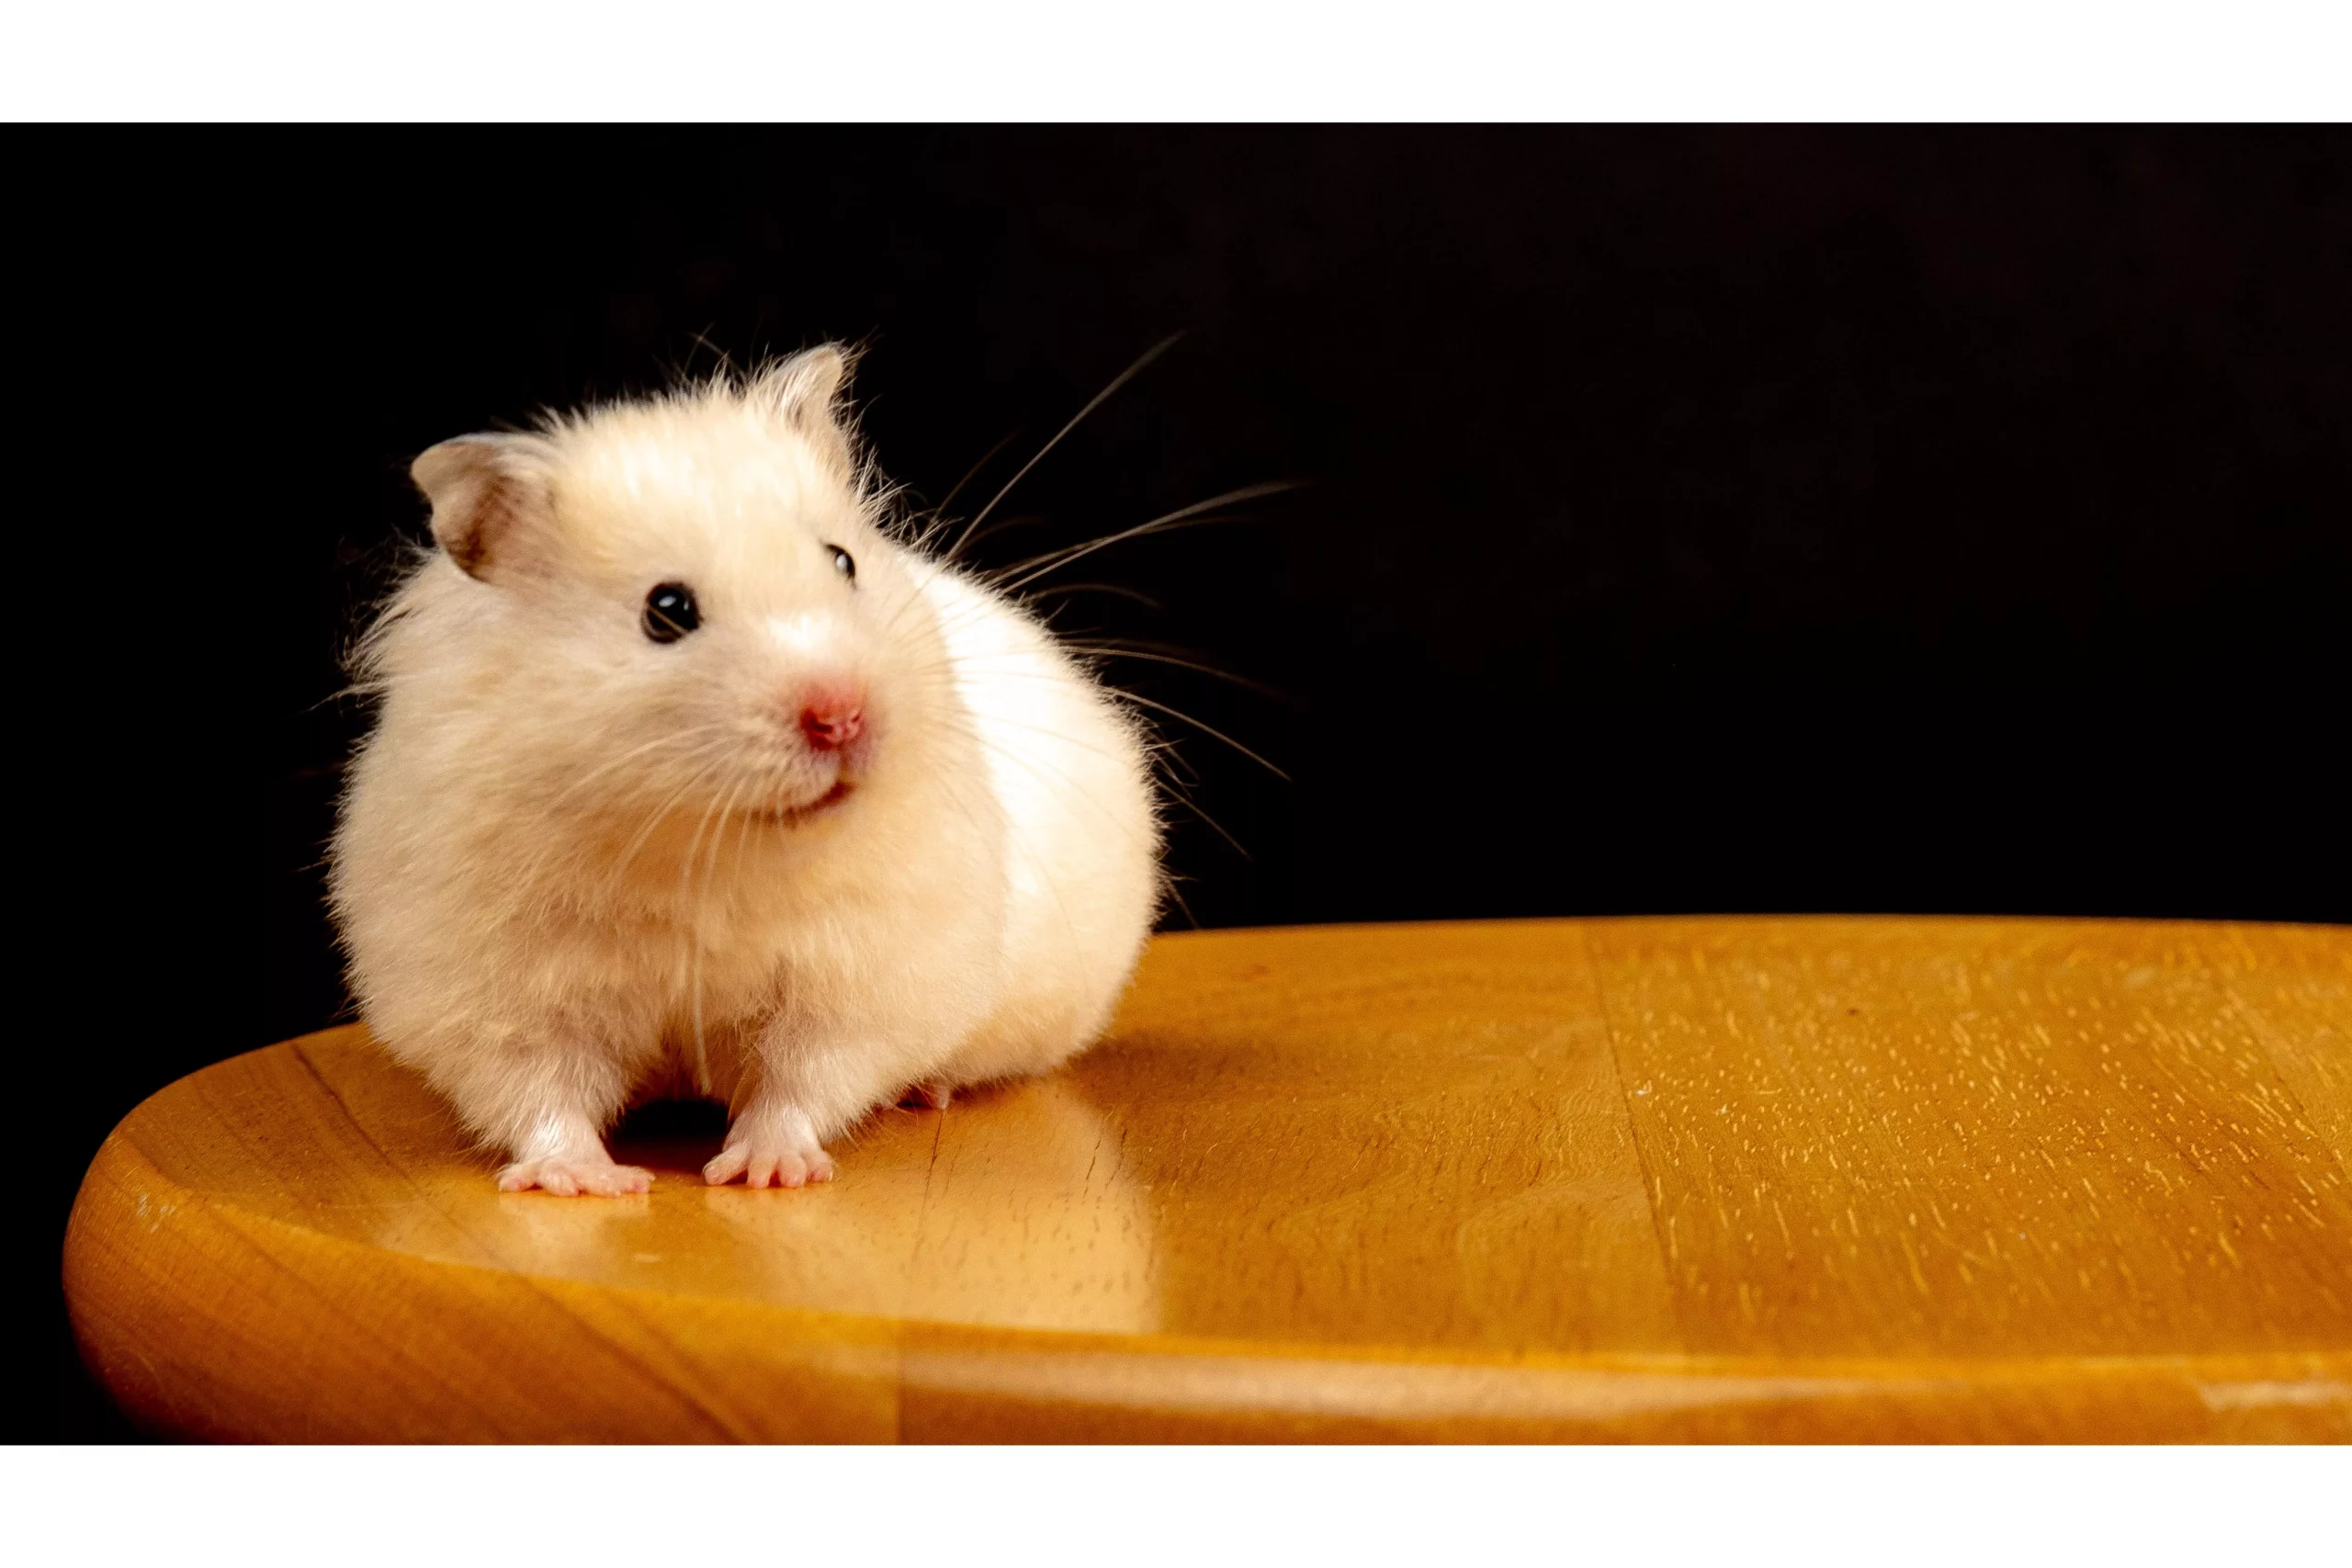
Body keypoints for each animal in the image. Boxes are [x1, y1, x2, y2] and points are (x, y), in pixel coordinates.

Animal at [328, 346, 1162, 1196]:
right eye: (666, 611)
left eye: (843, 561)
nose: (843, 716)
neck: (700, 843)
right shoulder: (496, 993)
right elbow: (539, 1091)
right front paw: (589, 1181)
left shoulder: (857, 977)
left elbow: (802, 1080)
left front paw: (765, 1170)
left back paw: (926, 1090)